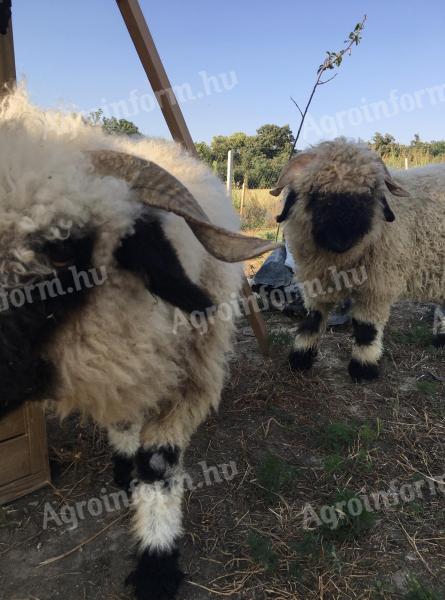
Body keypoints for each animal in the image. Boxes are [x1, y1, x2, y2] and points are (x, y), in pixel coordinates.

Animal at [0, 89, 278, 600]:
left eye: (63, 252)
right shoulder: (116, 369)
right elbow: (127, 426)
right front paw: (125, 468)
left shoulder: (190, 378)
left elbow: (159, 465)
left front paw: (157, 565)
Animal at [268, 139, 442, 382]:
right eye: (317, 193)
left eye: (368, 193)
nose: (342, 240)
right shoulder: (316, 280)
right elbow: (313, 319)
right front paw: (300, 358)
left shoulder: (378, 285)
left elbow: (365, 328)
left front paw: (363, 369)